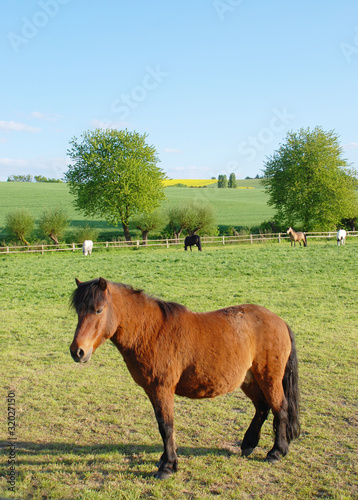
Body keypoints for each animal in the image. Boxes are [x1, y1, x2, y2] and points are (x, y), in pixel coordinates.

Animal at [69, 280, 300, 478]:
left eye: (98, 310)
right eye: (78, 312)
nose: (77, 351)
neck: (151, 331)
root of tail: (280, 322)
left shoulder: (162, 389)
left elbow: (166, 426)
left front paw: (168, 466)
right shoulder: (151, 390)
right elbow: (162, 425)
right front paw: (165, 459)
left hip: (269, 378)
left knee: (280, 408)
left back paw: (276, 452)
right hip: (250, 380)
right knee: (262, 408)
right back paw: (249, 444)